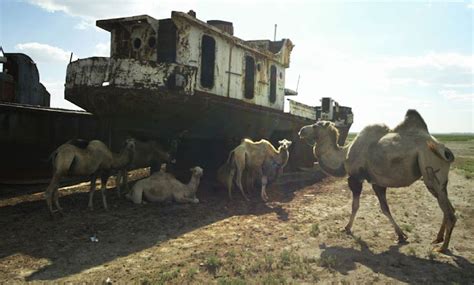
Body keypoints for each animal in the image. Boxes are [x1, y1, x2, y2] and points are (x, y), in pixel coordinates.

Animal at [298, 110, 458, 252]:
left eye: (316, 125)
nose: (301, 130)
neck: (344, 155)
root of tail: (443, 149)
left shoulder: (356, 178)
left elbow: (355, 206)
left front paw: (347, 228)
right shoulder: (377, 182)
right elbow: (384, 208)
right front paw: (401, 235)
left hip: (430, 169)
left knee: (450, 212)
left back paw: (443, 248)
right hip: (437, 180)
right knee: (447, 206)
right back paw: (438, 239)